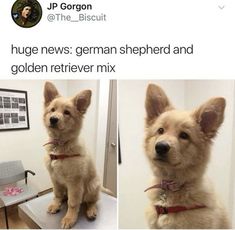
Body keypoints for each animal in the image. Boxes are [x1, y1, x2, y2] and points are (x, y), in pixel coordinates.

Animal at [43, 82, 100, 228]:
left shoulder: (74, 182)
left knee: (92, 201)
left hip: (92, 186)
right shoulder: (54, 177)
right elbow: (57, 193)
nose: (53, 119)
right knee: (64, 196)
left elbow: (73, 203)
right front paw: (56, 204)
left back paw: (91, 211)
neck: (60, 145)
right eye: (52, 110)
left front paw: (69, 218)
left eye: (67, 113)